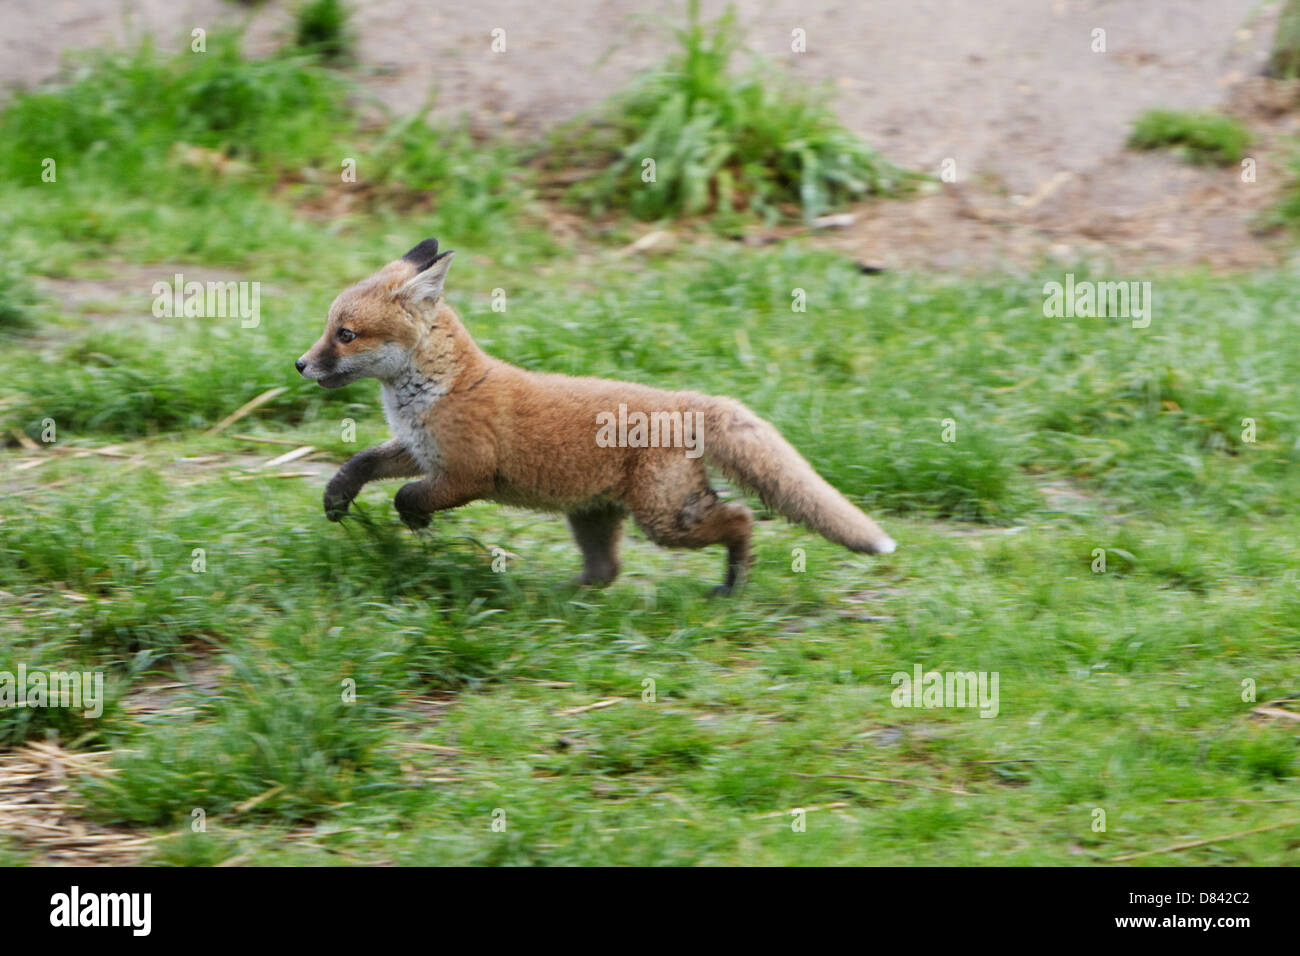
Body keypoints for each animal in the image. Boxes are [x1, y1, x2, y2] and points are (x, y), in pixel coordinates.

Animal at [295, 239, 896, 593]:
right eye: (330, 329)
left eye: (345, 335)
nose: (300, 364)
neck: (435, 391)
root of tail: (690, 399)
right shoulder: (416, 449)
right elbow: (361, 462)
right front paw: (336, 498)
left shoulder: (465, 474)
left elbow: (406, 496)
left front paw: (415, 523)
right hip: (594, 516)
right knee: (607, 572)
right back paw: (559, 600)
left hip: (664, 518)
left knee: (741, 518)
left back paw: (731, 585)